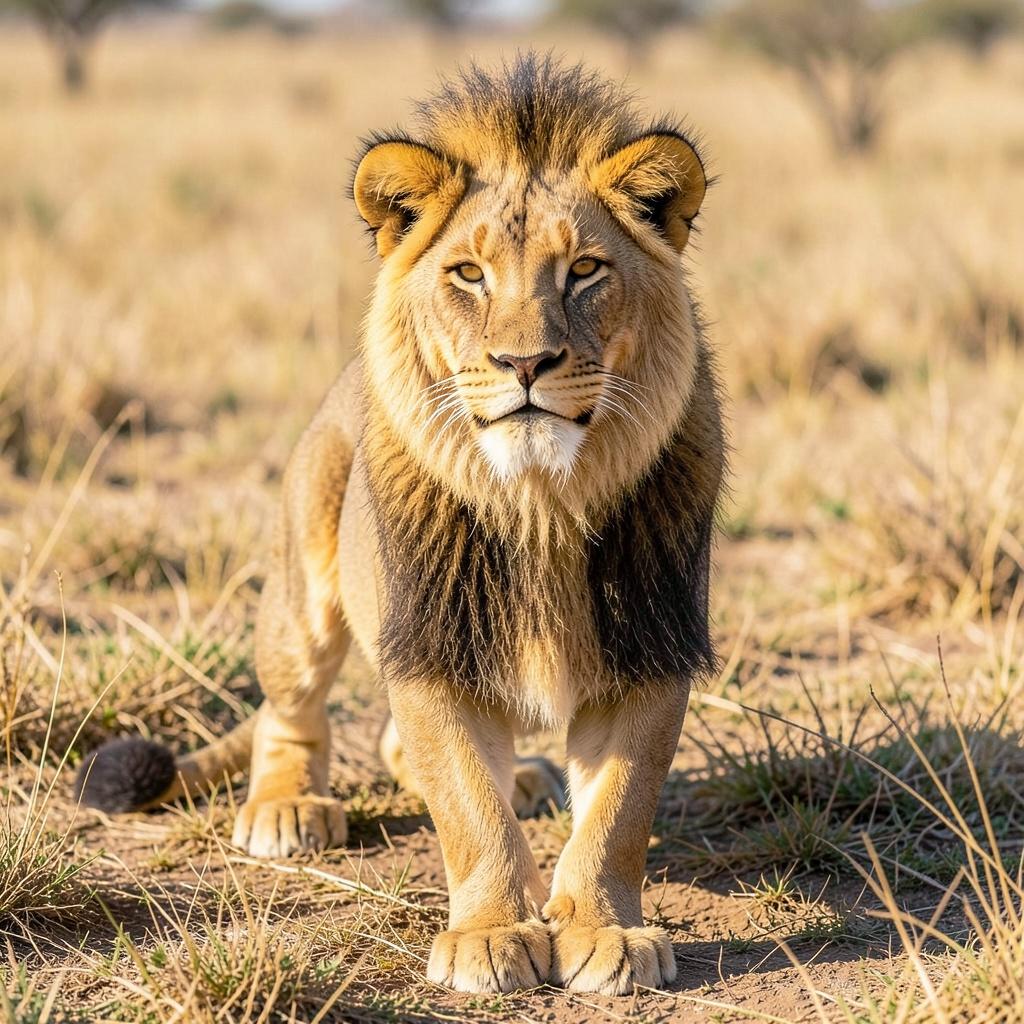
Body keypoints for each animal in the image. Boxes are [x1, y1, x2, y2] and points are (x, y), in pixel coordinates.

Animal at [76, 55, 725, 996]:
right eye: (468, 275)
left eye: (585, 270)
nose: (524, 363)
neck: (540, 501)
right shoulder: (430, 647)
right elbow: (466, 806)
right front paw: (490, 934)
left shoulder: (648, 644)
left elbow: (616, 812)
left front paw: (605, 931)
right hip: (304, 594)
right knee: (286, 711)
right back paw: (287, 808)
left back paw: (523, 781)